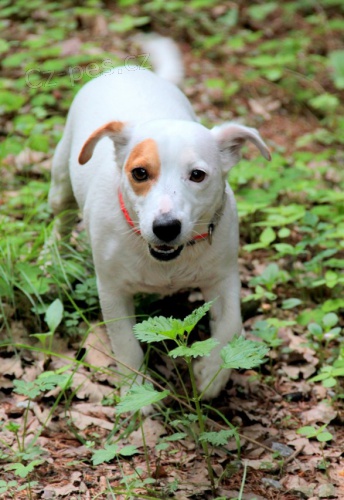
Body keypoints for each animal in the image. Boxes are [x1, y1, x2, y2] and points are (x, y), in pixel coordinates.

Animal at [49, 36, 268, 402]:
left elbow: (231, 326)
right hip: (61, 178)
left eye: (197, 175)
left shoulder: (223, 279)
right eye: (140, 172)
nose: (165, 228)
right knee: (60, 218)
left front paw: (211, 375)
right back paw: (52, 257)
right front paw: (137, 394)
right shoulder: (112, 291)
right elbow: (126, 345)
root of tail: (129, 69)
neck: (166, 264)